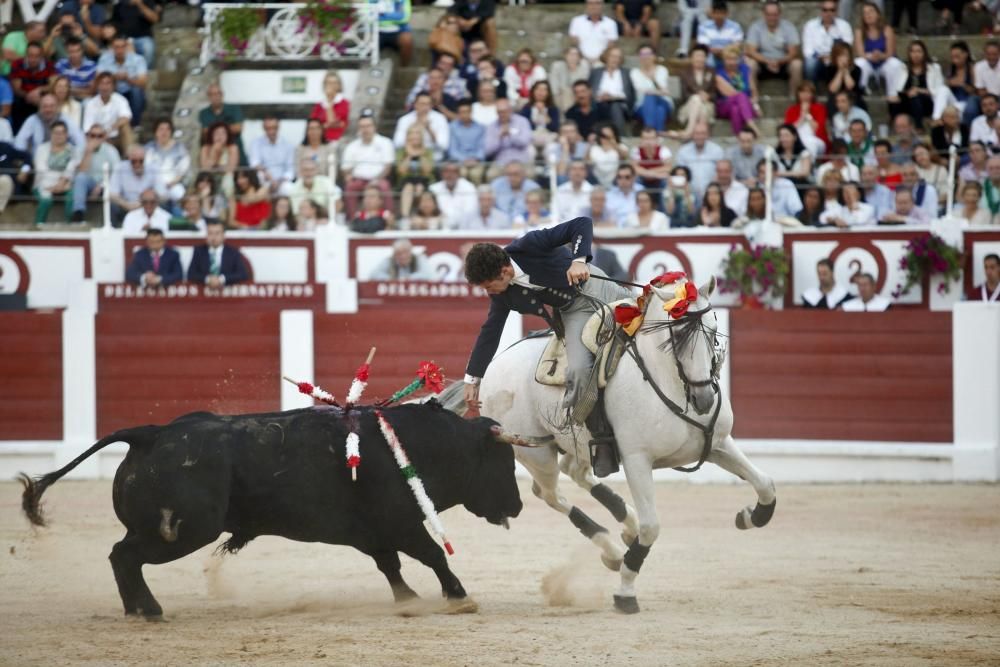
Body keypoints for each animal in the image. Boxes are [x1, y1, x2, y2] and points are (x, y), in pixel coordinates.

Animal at [17, 400, 524, 620]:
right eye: (502, 462)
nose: (519, 504)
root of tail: (151, 433)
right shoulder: (402, 523)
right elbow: (434, 554)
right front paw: (459, 596)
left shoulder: (373, 533)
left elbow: (391, 567)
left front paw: (408, 599)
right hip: (184, 531)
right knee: (124, 556)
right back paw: (150, 610)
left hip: (165, 529)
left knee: (120, 555)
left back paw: (138, 609)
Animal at [458, 274, 776, 612]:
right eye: (678, 334)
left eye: (714, 328)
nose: (704, 399)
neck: (668, 383)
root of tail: (494, 364)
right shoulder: (638, 460)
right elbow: (652, 527)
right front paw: (625, 592)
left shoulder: (718, 443)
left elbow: (766, 484)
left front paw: (749, 516)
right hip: (535, 452)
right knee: (550, 493)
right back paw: (612, 549)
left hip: (578, 444)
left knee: (576, 473)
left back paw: (625, 528)